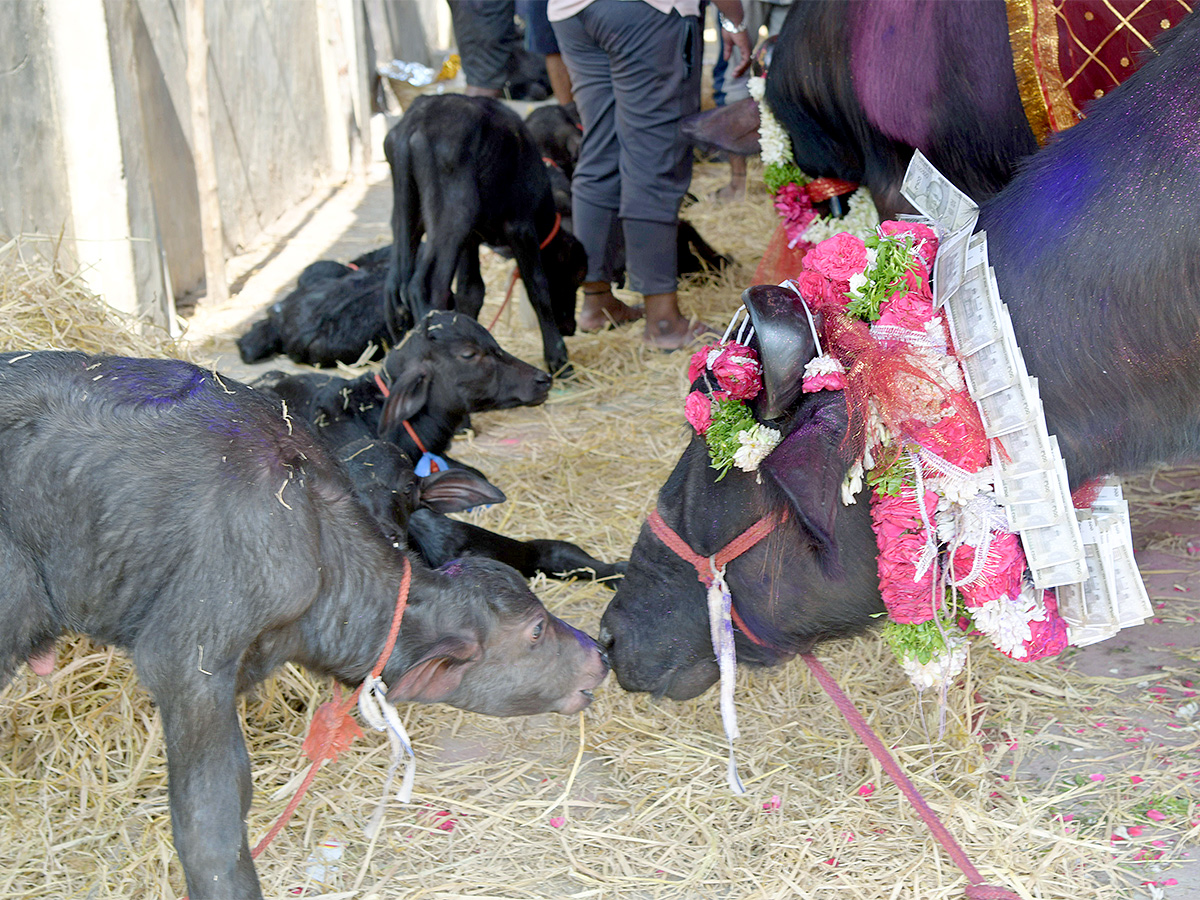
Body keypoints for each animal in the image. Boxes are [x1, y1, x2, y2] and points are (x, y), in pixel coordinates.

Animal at [384, 91, 585, 374]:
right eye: (574, 278)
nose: (569, 328)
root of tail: (416, 120)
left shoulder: (471, 240)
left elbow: (471, 292)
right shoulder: (520, 226)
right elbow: (538, 287)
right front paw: (558, 359)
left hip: (409, 219)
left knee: (393, 292)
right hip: (454, 218)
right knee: (424, 286)